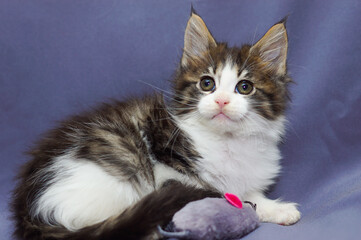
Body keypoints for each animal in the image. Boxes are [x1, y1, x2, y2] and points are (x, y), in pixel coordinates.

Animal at [11, 10, 300, 239]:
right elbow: (227, 193)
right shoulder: (168, 170)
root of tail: (28, 211)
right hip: (121, 165)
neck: (227, 141)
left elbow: (248, 194)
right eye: (207, 83)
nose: (221, 101)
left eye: (244, 87)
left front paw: (277, 209)